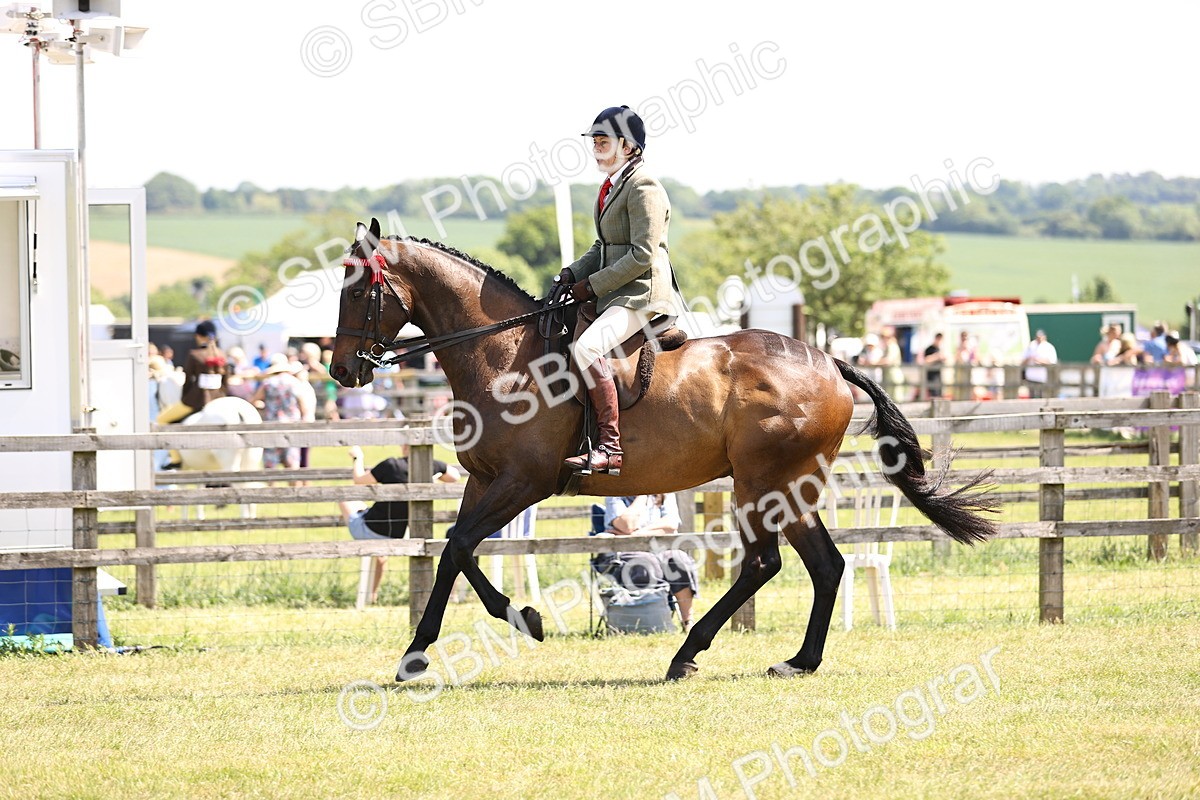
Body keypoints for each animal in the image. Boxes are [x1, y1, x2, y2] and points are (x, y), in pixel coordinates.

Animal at [330, 219, 998, 682]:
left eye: (357, 293)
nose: (341, 371)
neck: (505, 357)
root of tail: (829, 361)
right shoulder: (483, 480)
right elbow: (455, 551)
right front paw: (448, 643)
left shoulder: (526, 481)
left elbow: (458, 546)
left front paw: (493, 629)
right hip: (787, 487)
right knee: (822, 565)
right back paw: (797, 661)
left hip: (763, 483)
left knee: (766, 563)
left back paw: (688, 654)